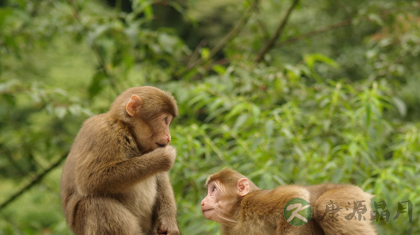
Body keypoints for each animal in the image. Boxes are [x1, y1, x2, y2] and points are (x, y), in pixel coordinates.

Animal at [61, 86, 180, 235]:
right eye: (165, 120)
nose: (169, 137)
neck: (127, 129)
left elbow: (161, 179)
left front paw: (168, 222)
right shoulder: (105, 132)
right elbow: (89, 180)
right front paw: (163, 157)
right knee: (94, 205)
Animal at [202, 168, 376, 235]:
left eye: (213, 190)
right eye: (209, 190)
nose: (203, 201)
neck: (237, 215)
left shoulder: (255, 202)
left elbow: (294, 198)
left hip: (348, 195)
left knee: (324, 207)